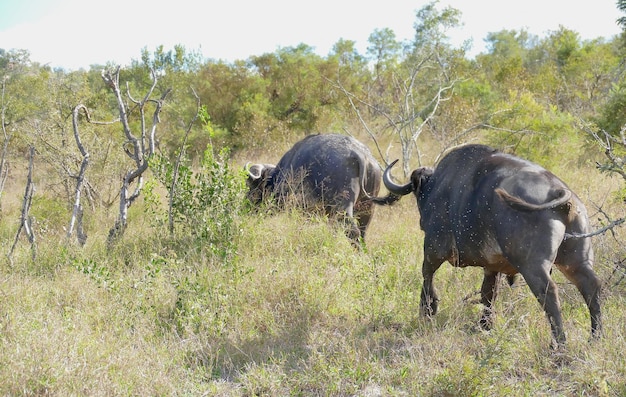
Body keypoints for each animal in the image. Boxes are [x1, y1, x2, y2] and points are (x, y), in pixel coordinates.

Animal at [244, 133, 380, 244]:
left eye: (250, 186)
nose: (245, 205)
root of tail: (359, 153)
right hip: (367, 208)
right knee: (362, 232)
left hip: (342, 207)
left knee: (352, 231)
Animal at [370, 144, 600, 344]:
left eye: (419, 192)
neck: (438, 186)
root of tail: (558, 192)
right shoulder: (492, 266)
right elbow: (488, 294)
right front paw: (485, 324)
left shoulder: (433, 250)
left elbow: (427, 276)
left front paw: (427, 309)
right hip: (575, 261)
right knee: (590, 286)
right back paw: (595, 337)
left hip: (533, 266)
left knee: (549, 293)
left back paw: (559, 344)